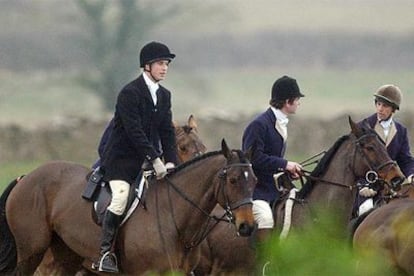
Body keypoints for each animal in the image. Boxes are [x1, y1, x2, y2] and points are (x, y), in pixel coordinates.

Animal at [0, 139, 256, 274]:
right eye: (233, 180)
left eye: (254, 180)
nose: (248, 226)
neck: (175, 220)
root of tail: (26, 177)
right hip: (31, 251)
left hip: (64, 256)